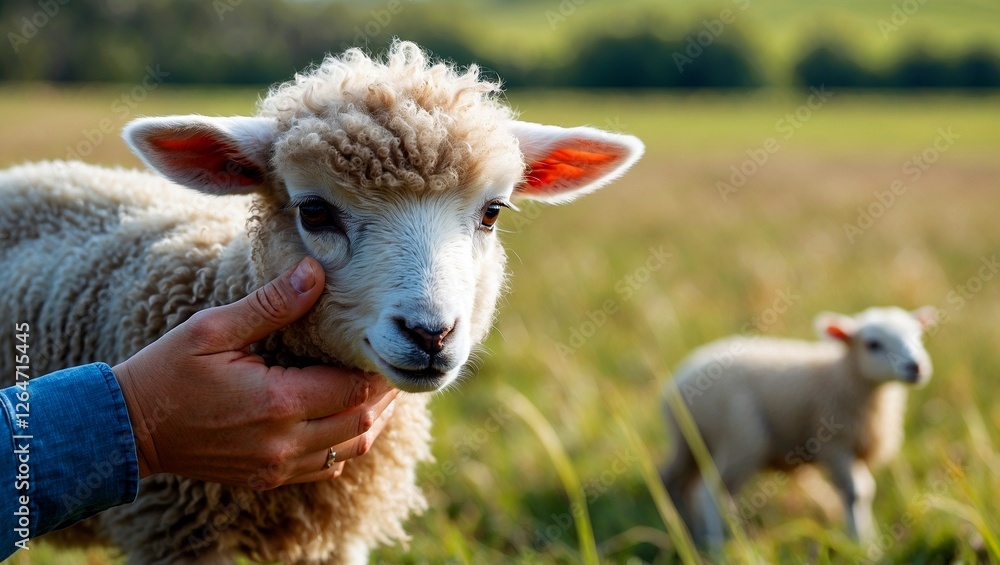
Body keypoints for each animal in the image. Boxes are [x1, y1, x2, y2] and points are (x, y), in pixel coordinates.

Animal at [660, 306, 936, 547]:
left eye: (918, 336)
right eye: (873, 344)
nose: (917, 367)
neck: (846, 376)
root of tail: (679, 379)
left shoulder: (855, 446)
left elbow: (866, 491)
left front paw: (870, 539)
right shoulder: (834, 445)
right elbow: (855, 493)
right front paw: (860, 544)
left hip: (691, 443)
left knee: (678, 483)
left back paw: (694, 534)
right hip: (741, 437)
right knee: (708, 492)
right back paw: (719, 546)